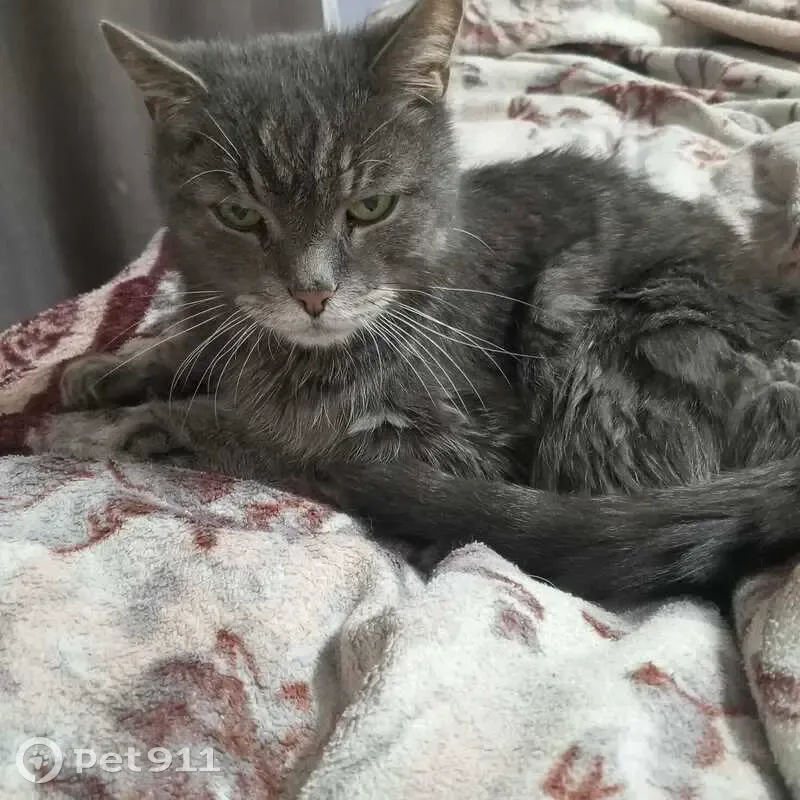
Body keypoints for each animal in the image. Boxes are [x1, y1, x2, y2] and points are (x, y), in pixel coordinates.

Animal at [31, 0, 800, 606]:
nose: (312, 292)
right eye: (240, 216)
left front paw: (98, 429)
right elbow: (191, 343)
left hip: (597, 327)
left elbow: (260, 435)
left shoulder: (451, 442)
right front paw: (107, 367)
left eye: (370, 207)